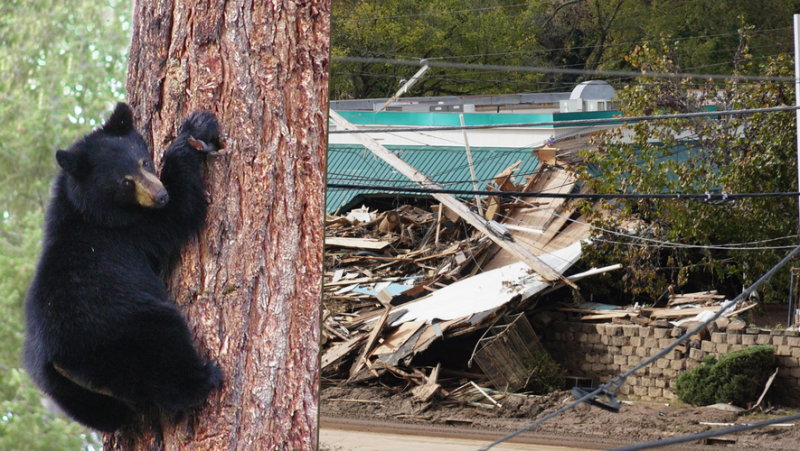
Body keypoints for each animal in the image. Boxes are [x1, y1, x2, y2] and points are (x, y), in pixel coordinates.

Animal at [23, 104, 223, 432]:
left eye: (144, 162)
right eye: (125, 182)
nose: (159, 195)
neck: (82, 209)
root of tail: (60, 362)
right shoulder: (129, 230)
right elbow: (180, 210)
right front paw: (193, 132)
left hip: (62, 390)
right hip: (125, 334)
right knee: (165, 353)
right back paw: (205, 377)